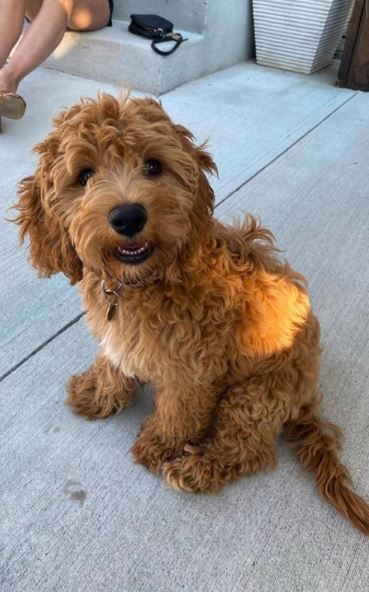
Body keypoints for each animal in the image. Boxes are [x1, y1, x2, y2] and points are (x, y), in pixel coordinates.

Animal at [15, 93, 368, 536]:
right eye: (84, 175)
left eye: (153, 166)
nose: (128, 216)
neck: (142, 280)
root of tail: (305, 396)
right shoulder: (122, 335)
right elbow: (113, 360)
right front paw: (99, 392)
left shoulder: (194, 368)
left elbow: (178, 412)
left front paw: (160, 445)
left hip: (255, 395)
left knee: (248, 448)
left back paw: (198, 467)